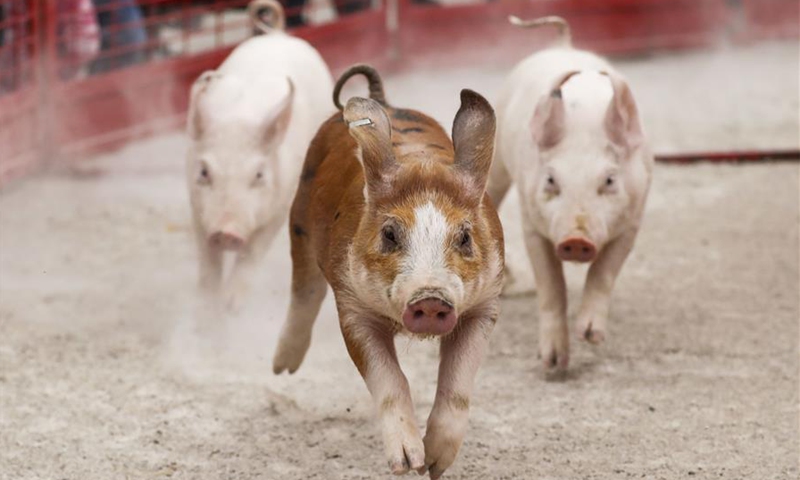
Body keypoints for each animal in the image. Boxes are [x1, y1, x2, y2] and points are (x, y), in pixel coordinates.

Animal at [186, 0, 332, 312]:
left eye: (259, 175)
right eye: (204, 172)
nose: (226, 232)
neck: (240, 117)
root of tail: (278, 34)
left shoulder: (281, 203)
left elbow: (253, 251)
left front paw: (232, 305)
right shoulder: (195, 203)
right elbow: (207, 257)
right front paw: (208, 303)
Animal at [272, 65, 504, 478]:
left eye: (464, 237)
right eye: (390, 234)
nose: (430, 298)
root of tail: (384, 100)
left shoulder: (486, 303)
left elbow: (458, 385)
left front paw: (434, 465)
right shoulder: (352, 306)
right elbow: (389, 379)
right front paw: (407, 464)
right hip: (297, 218)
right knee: (304, 288)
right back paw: (281, 369)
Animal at [488, 15, 648, 372]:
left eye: (609, 180)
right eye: (551, 180)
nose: (576, 239)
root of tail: (564, 44)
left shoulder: (632, 220)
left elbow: (604, 272)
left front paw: (590, 336)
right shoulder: (530, 221)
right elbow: (551, 286)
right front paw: (552, 363)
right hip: (497, 158)